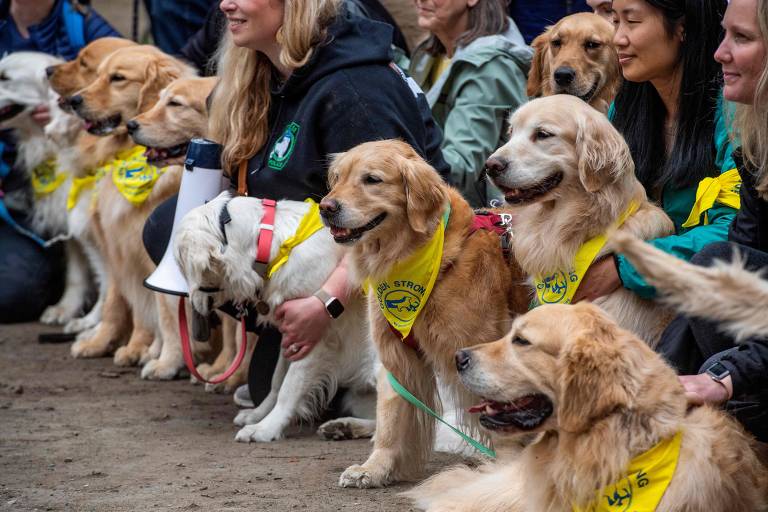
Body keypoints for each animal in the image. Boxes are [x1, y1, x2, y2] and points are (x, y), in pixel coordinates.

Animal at [174, 192, 378, 440]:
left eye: (182, 267)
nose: (192, 304)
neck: (273, 245)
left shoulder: (315, 335)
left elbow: (289, 388)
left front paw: (266, 428)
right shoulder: (292, 332)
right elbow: (277, 381)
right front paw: (258, 415)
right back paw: (343, 426)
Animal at [318, 139, 528, 488]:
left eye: (372, 179)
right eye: (337, 178)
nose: (326, 207)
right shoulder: (396, 354)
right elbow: (391, 418)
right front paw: (375, 468)